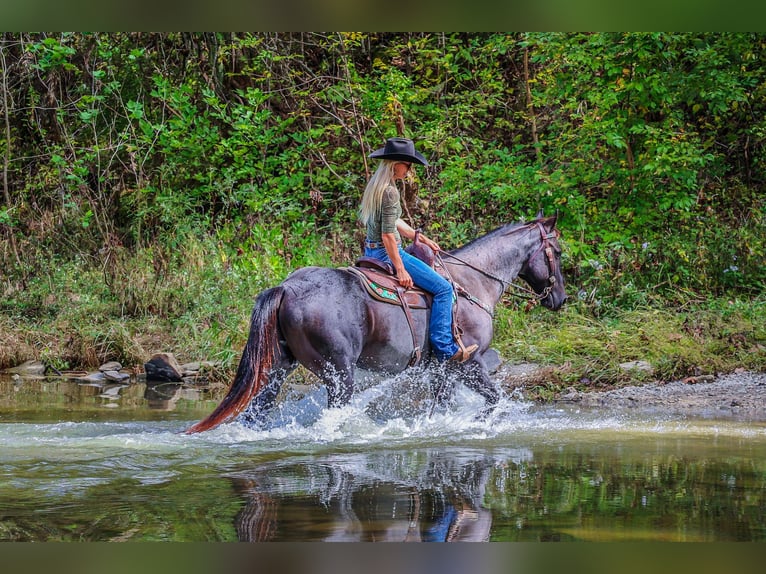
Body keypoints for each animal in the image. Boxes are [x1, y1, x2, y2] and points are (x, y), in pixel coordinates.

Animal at [185, 214, 567, 433]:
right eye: (559, 253)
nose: (560, 299)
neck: (471, 282)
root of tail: (287, 287)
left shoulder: (443, 370)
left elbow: (442, 406)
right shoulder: (467, 362)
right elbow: (494, 399)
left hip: (277, 369)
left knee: (257, 414)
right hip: (339, 375)